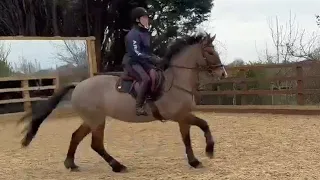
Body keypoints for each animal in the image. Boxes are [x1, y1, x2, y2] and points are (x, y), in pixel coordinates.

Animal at [17, 32, 228, 173]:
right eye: (210, 52)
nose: (222, 74)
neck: (176, 80)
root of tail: (79, 85)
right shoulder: (180, 115)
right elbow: (204, 125)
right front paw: (208, 151)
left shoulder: (182, 117)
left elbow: (187, 138)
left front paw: (194, 161)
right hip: (97, 121)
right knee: (96, 144)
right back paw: (117, 166)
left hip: (92, 120)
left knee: (76, 136)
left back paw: (71, 164)